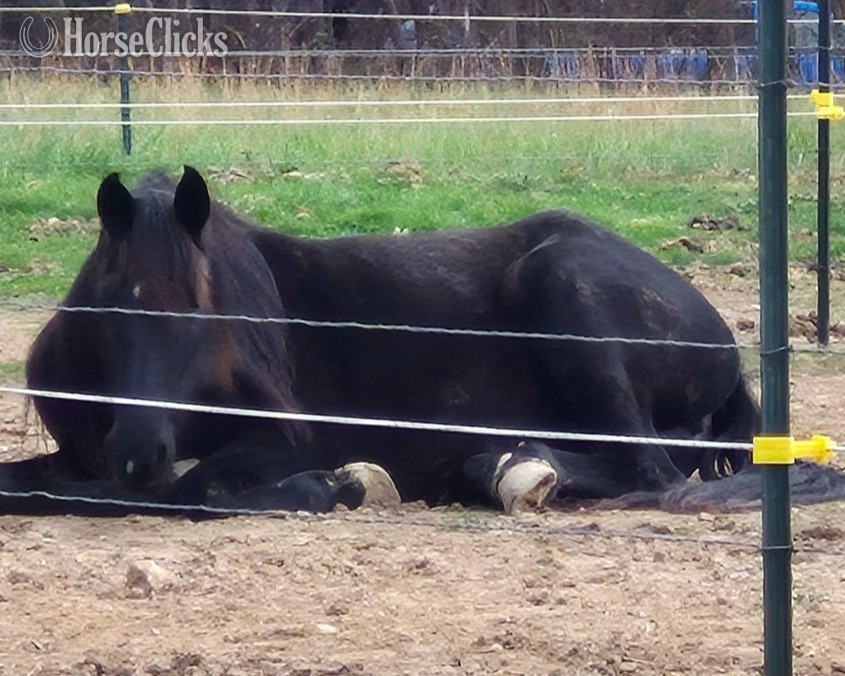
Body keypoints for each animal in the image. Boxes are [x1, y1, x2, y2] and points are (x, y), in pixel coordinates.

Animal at [5, 165, 831, 517]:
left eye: (207, 312)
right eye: (107, 305)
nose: (136, 450)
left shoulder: (274, 443)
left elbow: (191, 488)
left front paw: (333, 487)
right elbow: (30, 486)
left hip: (565, 288)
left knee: (653, 476)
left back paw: (512, 471)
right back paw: (507, 466)